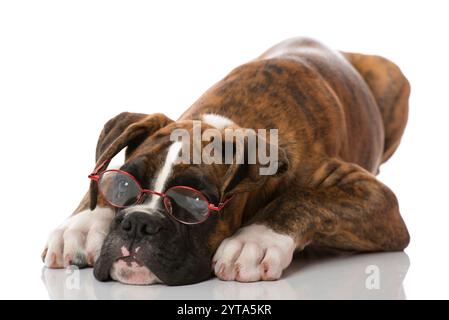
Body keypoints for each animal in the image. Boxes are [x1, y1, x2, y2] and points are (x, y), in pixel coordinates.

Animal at [41, 37, 410, 284]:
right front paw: (83, 224)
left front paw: (255, 240)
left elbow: (302, 198)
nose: (137, 223)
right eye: (123, 186)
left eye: (193, 202)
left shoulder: (375, 197)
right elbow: (100, 173)